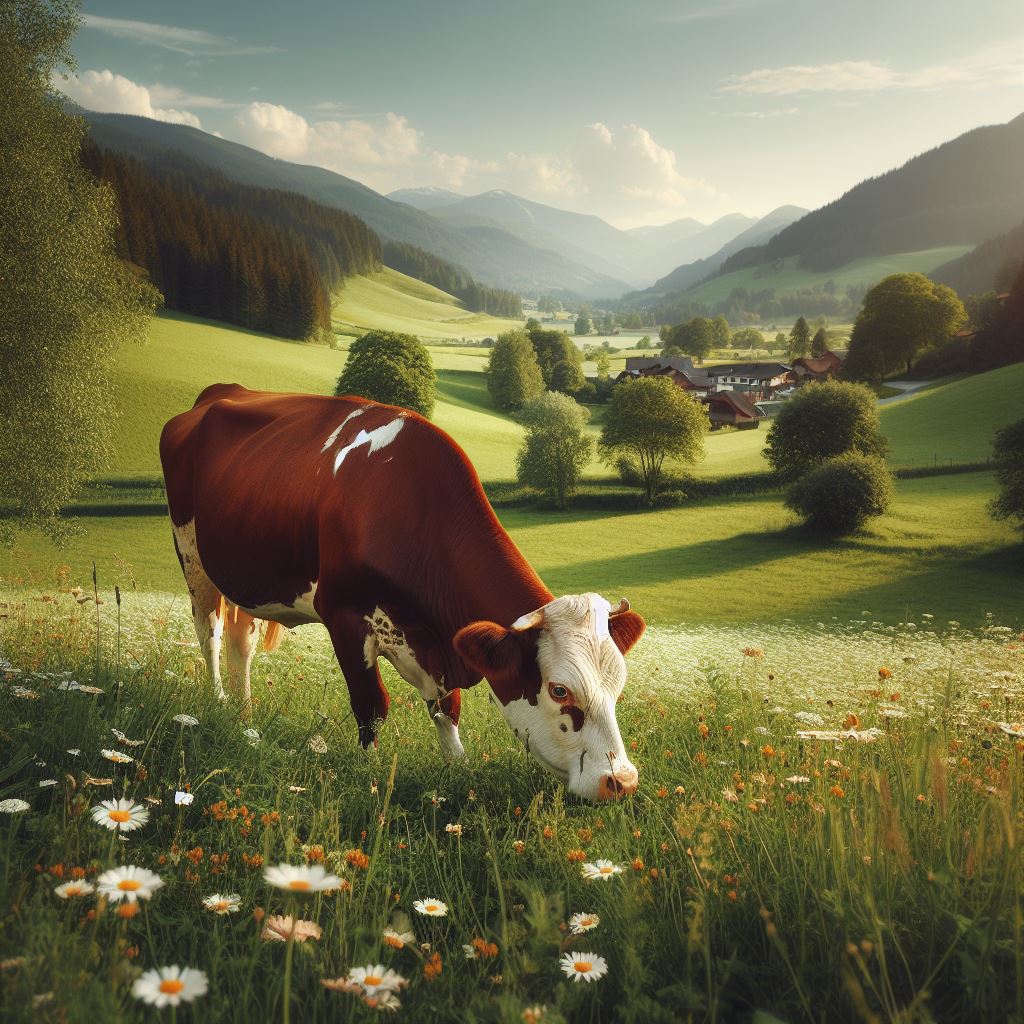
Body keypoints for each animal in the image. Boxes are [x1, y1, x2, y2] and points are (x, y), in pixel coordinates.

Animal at [160, 384, 646, 802]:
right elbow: (372, 704)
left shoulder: (436, 645)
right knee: (210, 634)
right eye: (560, 690)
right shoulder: (344, 617)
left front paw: (458, 772)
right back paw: (218, 702)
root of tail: (223, 391)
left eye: (618, 683)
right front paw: (371, 778)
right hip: (191, 555)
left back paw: (246, 723)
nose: (620, 781)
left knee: (241, 643)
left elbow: (447, 709)